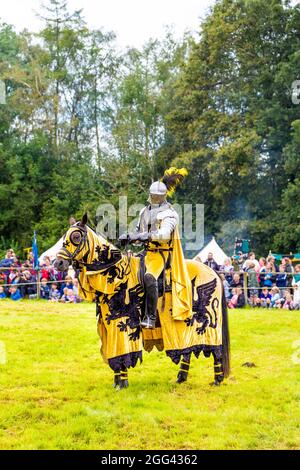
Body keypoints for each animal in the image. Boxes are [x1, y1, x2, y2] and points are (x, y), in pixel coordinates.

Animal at [54, 215, 231, 392]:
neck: (113, 274)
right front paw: (116, 381)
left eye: (76, 237)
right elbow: (114, 354)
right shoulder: (108, 325)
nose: (58, 264)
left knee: (215, 347)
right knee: (187, 350)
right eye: (64, 237)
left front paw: (122, 383)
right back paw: (181, 377)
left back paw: (217, 379)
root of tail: (214, 272)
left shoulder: (120, 324)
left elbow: (123, 351)